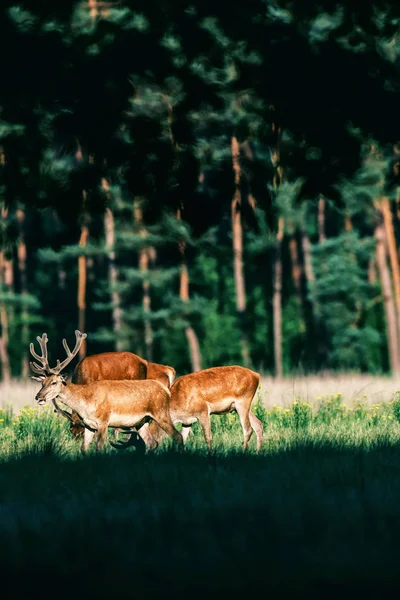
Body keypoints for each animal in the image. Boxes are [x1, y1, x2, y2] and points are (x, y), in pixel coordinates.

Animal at [29, 330, 183, 452]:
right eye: (42, 382)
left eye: (54, 382)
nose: (38, 397)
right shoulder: (90, 425)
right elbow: (85, 448)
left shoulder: (103, 421)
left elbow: (100, 446)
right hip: (142, 420)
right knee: (152, 442)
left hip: (160, 412)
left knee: (175, 436)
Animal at [113, 364, 262, 452]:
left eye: (141, 446)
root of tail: (257, 375)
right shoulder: (187, 421)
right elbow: (182, 438)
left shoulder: (203, 411)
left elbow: (208, 436)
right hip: (240, 407)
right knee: (258, 424)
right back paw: (258, 451)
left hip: (243, 401)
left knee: (248, 429)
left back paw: (243, 452)